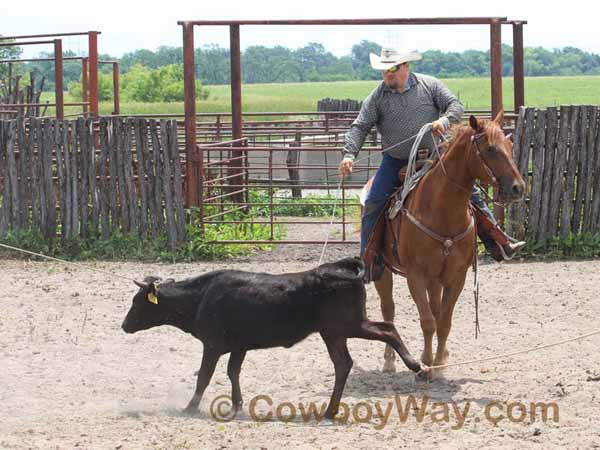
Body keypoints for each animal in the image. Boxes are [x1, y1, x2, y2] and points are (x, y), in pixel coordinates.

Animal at [370, 111, 524, 376]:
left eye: (510, 145)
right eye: (491, 149)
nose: (518, 188)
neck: (441, 210)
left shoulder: (456, 276)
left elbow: (443, 321)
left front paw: (440, 362)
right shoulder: (415, 275)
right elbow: (427, 321)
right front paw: (425, 364)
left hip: (436, 278)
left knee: (434, 308)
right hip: (384, 270)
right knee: (388, 310)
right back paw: (389, 361)